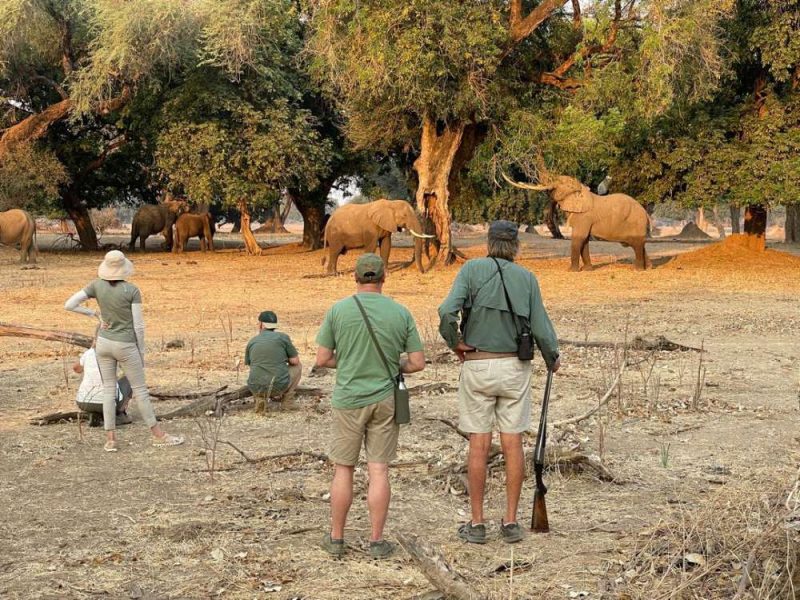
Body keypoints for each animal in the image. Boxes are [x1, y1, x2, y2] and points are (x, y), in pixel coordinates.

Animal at [506, 171, 648, 270]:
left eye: (561, 184)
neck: (580, 188)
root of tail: (646, 213)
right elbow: (584, 241)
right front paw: (587, 270)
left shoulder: (584, 217)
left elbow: (578, 238)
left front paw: (571, 270)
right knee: (638, 245)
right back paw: (648, 267)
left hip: (636, 222)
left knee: (637, 244)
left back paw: (638, 270)